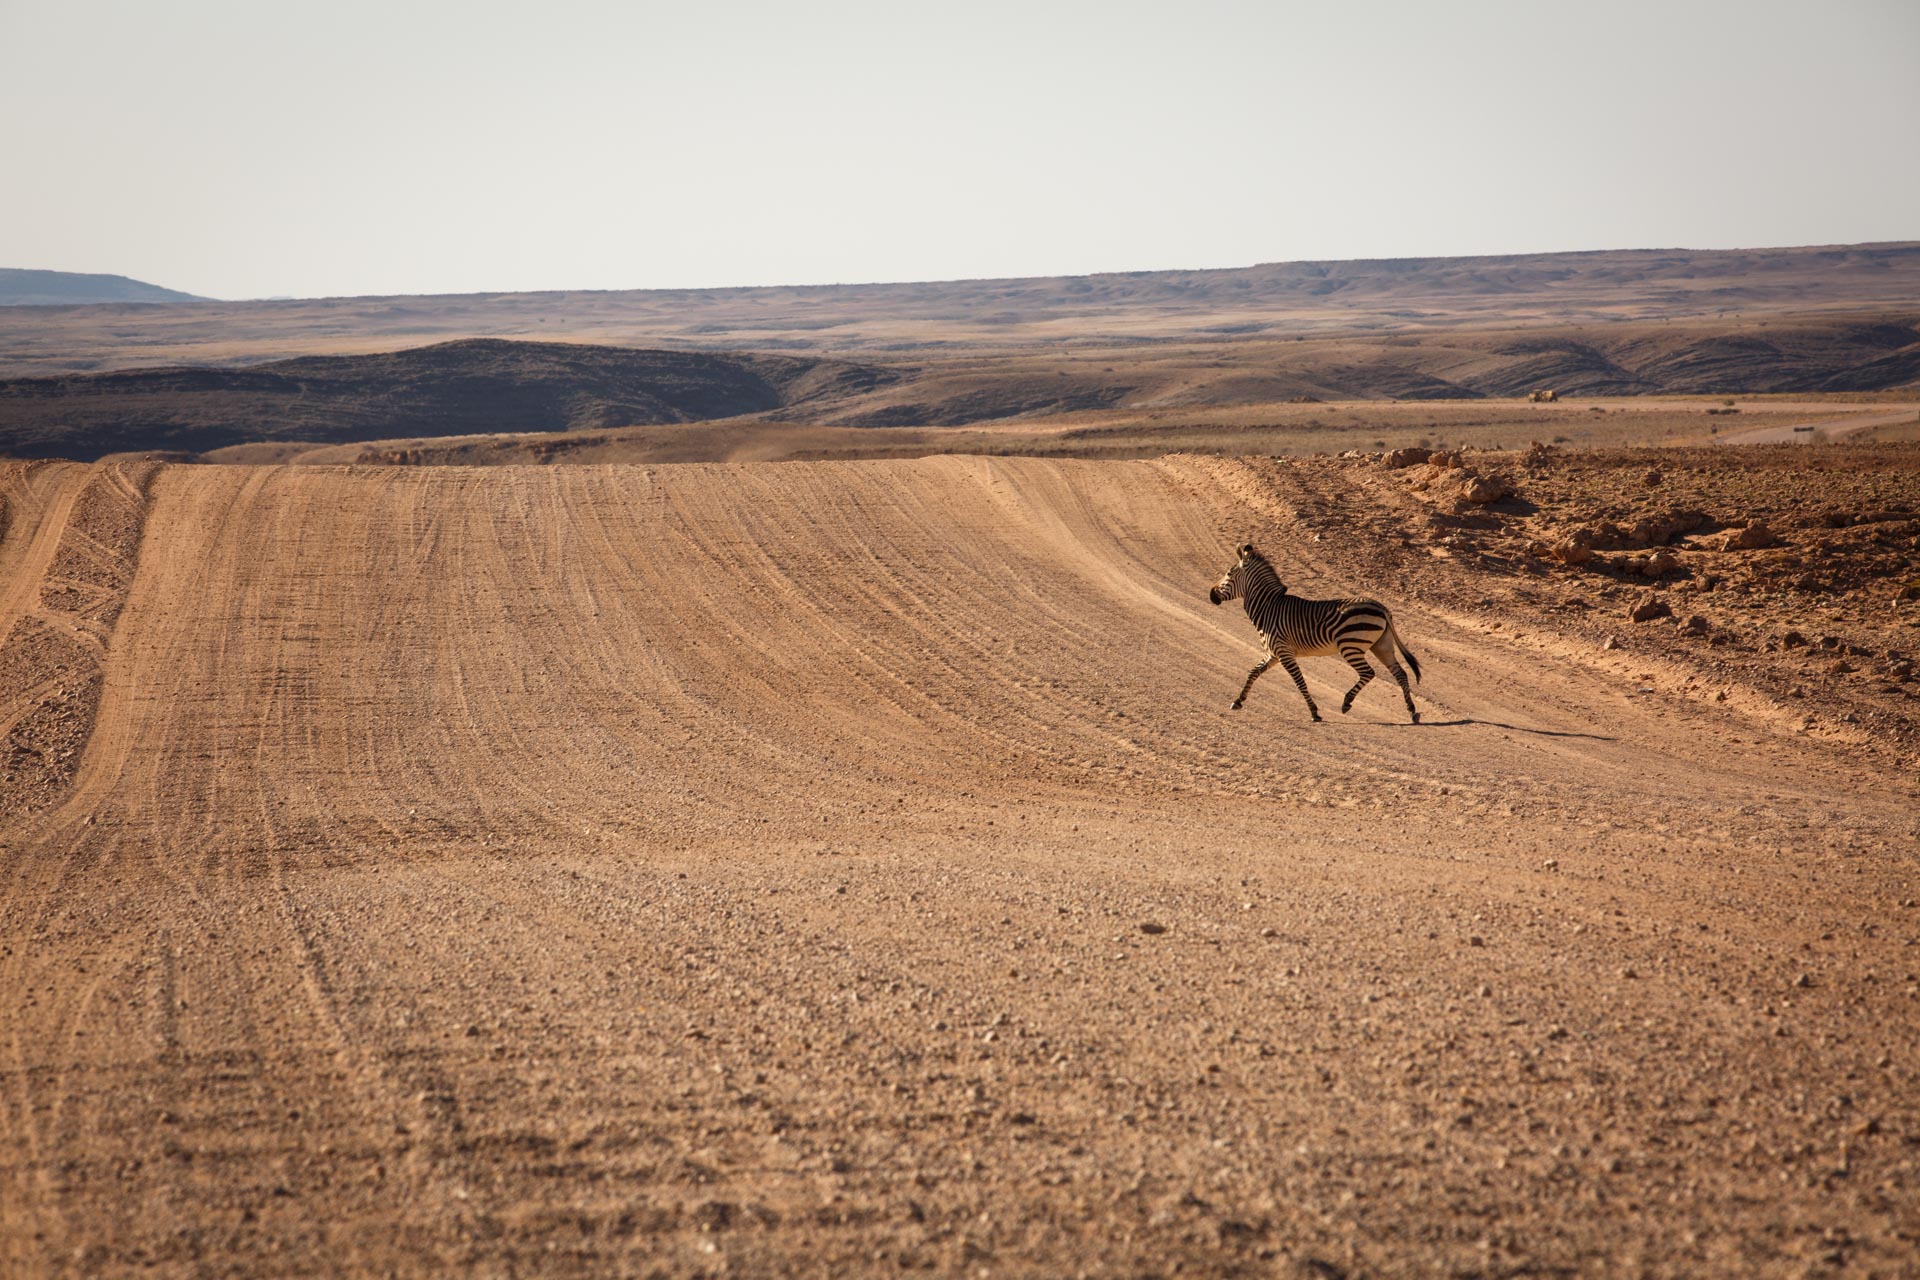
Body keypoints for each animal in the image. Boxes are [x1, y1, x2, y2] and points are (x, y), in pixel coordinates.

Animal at [1208, 544, 1422, 722]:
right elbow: (1253, 672)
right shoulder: (1273, 653)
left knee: (1369, 672)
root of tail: (1381, 607)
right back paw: (1412, 711)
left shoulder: (1284, 653)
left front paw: (1314, 712)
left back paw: (1347, 702)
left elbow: (1300, 682)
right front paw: (1238, 700)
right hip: (1382, 645)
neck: (1268, 608)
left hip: (1350, 646)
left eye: (1229, 574)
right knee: (1400, 673)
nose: (1211, 595)